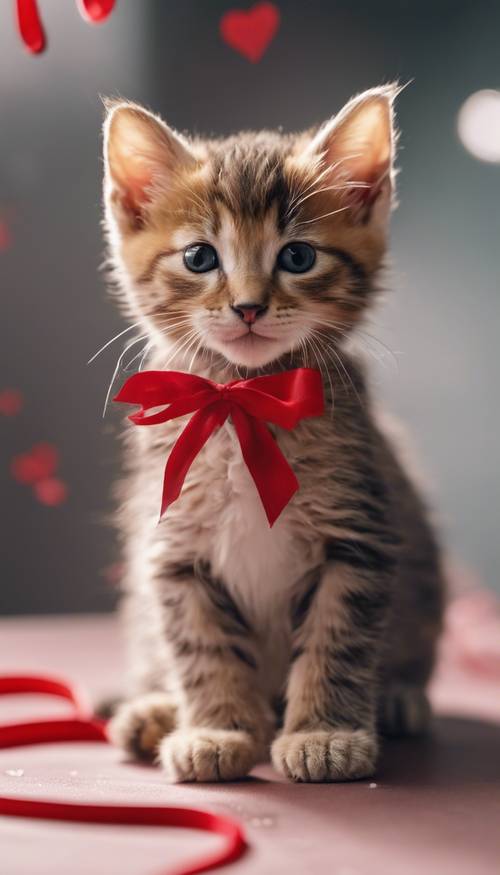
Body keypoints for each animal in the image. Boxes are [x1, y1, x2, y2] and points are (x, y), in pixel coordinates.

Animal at [103, 85, 444, 784]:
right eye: (200, 257)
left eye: (298, 256)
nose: (249, 306)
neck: (242, 400)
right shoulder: (172, 549)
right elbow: (202, 647)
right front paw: (217, 729)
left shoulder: (358, 536)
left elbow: (335, 640)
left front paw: (324, 733)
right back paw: (152, 710)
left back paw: (398, 696)